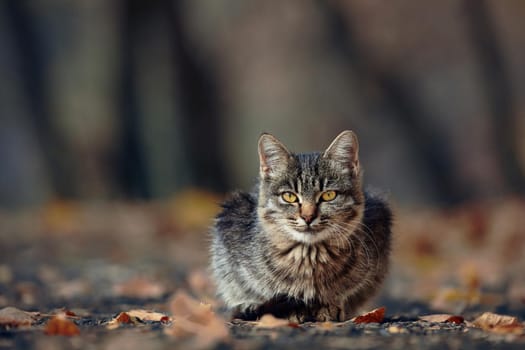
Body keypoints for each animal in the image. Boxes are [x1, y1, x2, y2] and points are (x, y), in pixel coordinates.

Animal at [209, 130, 388, 322]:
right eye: (289, 196)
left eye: (329, 195)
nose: (308, 216)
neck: (309, 255)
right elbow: (251, 289)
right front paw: (286, 307)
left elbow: (349, 291)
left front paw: (328, 305)